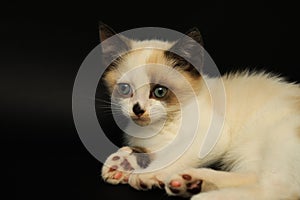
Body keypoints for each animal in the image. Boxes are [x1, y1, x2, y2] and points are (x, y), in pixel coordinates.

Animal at [99, 22, 300, 199]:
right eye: (125, 89)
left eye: (160, 91)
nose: (138, 109)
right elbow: (154, 150)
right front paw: (123, 162)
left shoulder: (212, 134)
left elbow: (177, 154)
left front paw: (145, 173)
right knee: (255, 177)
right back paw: (190, 182)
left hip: (280, 134)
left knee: (279, 189)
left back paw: (204, 196)